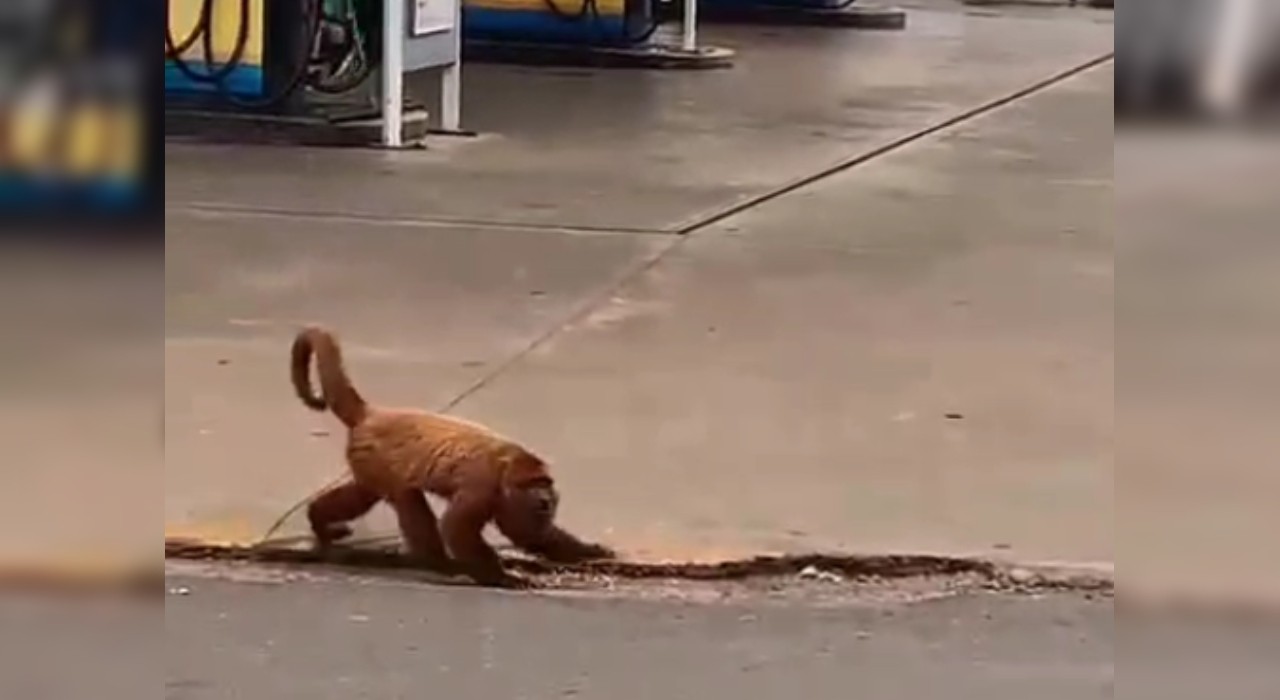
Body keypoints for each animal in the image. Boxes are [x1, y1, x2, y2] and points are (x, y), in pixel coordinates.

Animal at [290, 326, 614, 588]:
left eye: (546, 483)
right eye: (533, 485)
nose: (545, 499)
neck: (507, 466)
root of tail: (372, 414)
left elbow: (527, 534)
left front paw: (592, 552)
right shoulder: (484, 486)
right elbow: (457, 529)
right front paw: (502, 577)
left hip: (368, 462)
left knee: (362, 495)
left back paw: (318, 520)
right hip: (379, 461)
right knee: (408, 502)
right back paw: (440, 564)